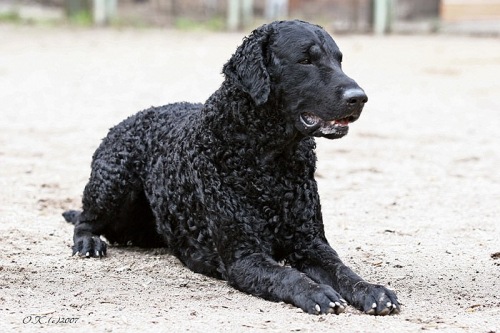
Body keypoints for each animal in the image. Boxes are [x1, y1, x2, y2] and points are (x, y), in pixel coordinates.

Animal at [64, 19, 400, 316]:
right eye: (306, 59)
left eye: (339, 60)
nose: (360, 98)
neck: (270, 163)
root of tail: (131, 118)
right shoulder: (244, 256)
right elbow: (288, 275)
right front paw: (317, 293)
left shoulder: (309, 242)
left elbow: (343, 271)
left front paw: (372, 290)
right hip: (114, 186)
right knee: (84, 220)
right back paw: (88, 242)